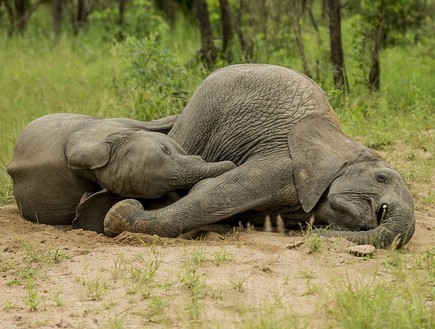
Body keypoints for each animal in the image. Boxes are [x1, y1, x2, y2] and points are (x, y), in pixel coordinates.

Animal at [104, 64, 416, 247]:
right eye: (381, 178)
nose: (303, 238)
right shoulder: (283, 164)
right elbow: (208, 197)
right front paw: (119, 215)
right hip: (201, 113)